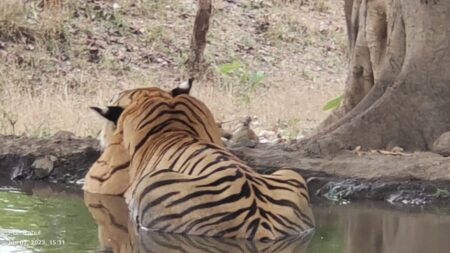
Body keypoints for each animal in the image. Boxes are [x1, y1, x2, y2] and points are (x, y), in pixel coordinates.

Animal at [84, 80, 314, 240]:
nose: (98, 135)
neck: (170, 124)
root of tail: (261, 225)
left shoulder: (100, 180)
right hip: (291, 173)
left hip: (153, 184)